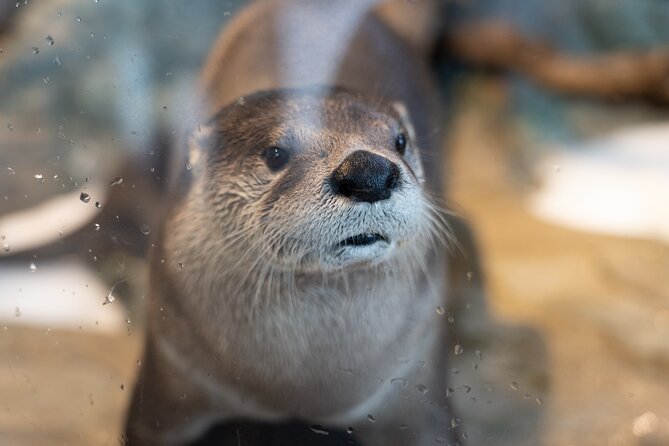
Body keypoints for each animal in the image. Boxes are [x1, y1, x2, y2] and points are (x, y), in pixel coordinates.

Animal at [125, 1, 460, 445]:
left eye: (401, 140)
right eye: (275, 155)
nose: (369, 171)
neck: (297, 389)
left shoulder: (415, 376)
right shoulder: (170, 368)